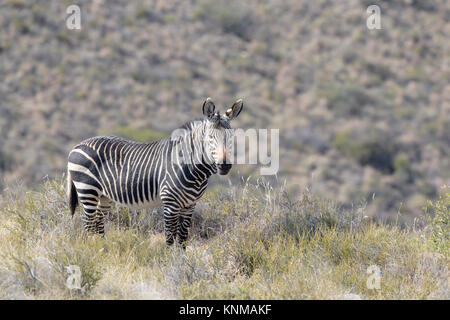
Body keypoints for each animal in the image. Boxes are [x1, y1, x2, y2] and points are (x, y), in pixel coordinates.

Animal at [66, 97, 243, 248]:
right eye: (210, 138)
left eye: (230, 137)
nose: (224, 166)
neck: (194, 170)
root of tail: (78, 145)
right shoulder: (170, 204)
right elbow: (170, 239)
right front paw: (171, 263)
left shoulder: (190, 205)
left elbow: (183, 239)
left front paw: (182, 261)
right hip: (87, 189)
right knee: (89, 224)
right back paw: (93, 250)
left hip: (103, 195)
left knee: (98, 223)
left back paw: (102, 249)